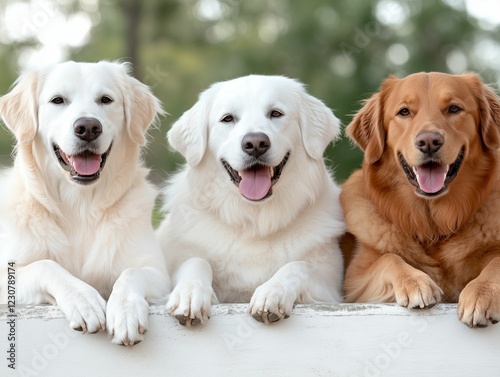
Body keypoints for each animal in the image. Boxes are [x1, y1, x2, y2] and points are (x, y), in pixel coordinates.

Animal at [0, 61, 170, 344]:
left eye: (105, 100)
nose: (88, 127)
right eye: (58, 100)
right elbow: (46, 265)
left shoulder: (157, 272)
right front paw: (83, 299)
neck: (79, 204)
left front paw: (125, 310)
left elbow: (130, 273)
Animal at [158, 75, 346, 324]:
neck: (254, 220)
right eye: (228, 118)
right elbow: (196, 262)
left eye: (276, 113)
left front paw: (272, 292)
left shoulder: (330, 285)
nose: (255, 143)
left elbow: (298, 266)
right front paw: (190, 294)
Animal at [342, 72, 500, 326]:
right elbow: (389, 258)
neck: (433, 227)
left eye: (454, 108)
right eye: (404, 112)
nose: (429, 142)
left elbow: (496, 263)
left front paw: (481, 293)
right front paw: (415, 281)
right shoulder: (354, 282)